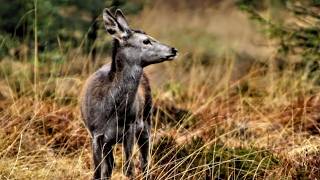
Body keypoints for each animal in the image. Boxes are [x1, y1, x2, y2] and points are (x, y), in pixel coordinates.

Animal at [80, 8, 179, 180]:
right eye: (146, 41)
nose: (173, 50)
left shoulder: (130, 127)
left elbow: (129, 169)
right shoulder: (95, 133)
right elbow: (98, 172)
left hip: (146, 120)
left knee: (144, 160)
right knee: (110, 167)